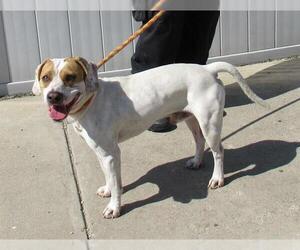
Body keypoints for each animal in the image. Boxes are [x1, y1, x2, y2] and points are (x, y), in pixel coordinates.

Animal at [32, 57, 268, 219]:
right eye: (45, 78)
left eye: (70, 77)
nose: (53, 96)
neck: (92, 100)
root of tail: (207, 69)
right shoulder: (103, 153)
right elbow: (111, 179)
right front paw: (109, 190)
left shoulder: (110, 154)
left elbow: (116, 183)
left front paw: (114, 208)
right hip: (192, 120)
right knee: (199, 141)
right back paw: (196, 162)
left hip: (210, 124)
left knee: (219, 151)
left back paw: (217, 178)